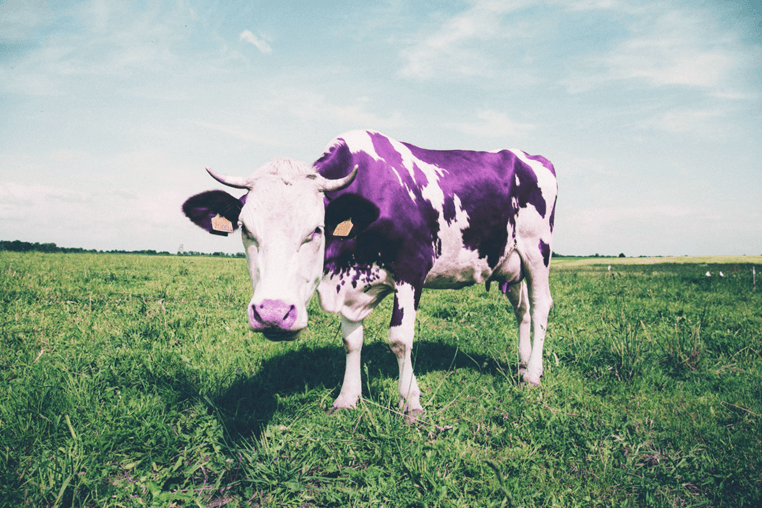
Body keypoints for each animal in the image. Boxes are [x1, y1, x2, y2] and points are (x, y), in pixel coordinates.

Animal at [182, 130, 557, 420]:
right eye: (246, 230)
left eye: (316, 230)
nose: (273, 313)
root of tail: (529, 156)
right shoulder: (346, 287)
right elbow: (351, 341)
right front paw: (347, 398)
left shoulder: (411, 269)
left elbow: (400, 338)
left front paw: (410, 402)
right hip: (511, 263)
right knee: (522, 310)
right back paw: (522, 364)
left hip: (537, 250)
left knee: (540, 306)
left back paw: (533, 374)